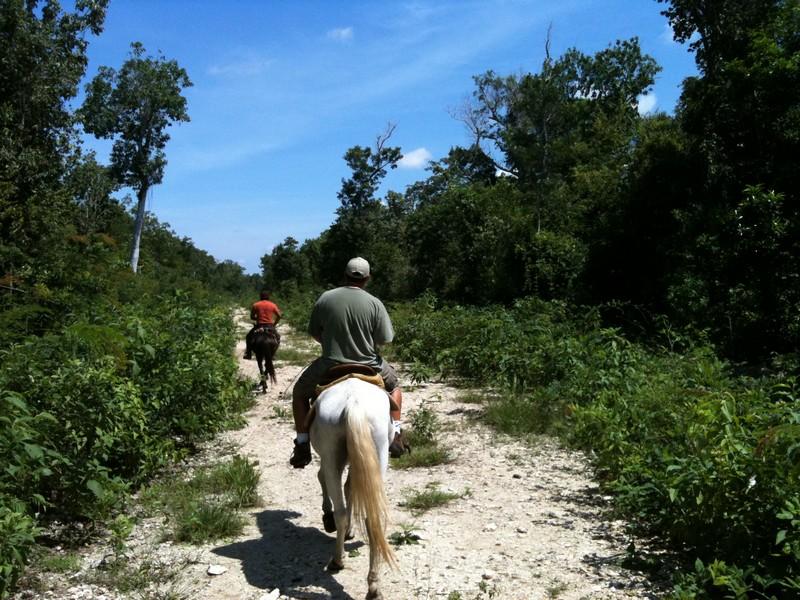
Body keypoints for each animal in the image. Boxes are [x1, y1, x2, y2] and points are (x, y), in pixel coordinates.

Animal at [312, 378, 400, 596]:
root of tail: (354, 403)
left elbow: (327, 480)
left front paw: (328, 517)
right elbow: (350, 487)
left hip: (332, 457)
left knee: (340, 510)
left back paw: (337, 560)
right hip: (379, 455)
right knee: (373, 518)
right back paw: (373, 585)